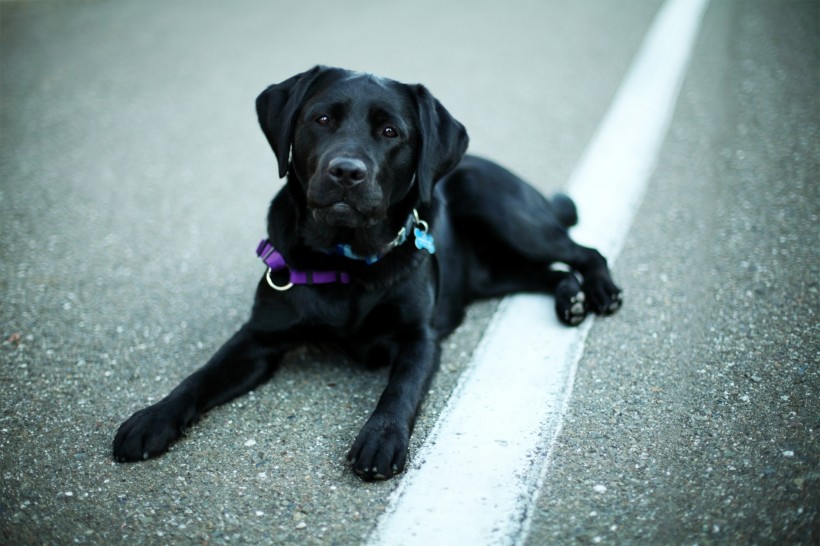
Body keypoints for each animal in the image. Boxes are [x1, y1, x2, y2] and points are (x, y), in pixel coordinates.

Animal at [110, 66, 620, 478]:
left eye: (391, 131)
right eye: (321, 120)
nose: (346, 171)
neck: (345, 261)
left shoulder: (420, 337)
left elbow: (400, 389)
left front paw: (381, 439)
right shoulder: (257, 338)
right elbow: (201, 375)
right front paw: (153, 418)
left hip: (502, 209)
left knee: (583, 251)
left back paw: (599, 291)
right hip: (493, 271)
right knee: (545, 272)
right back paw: (570, 298)